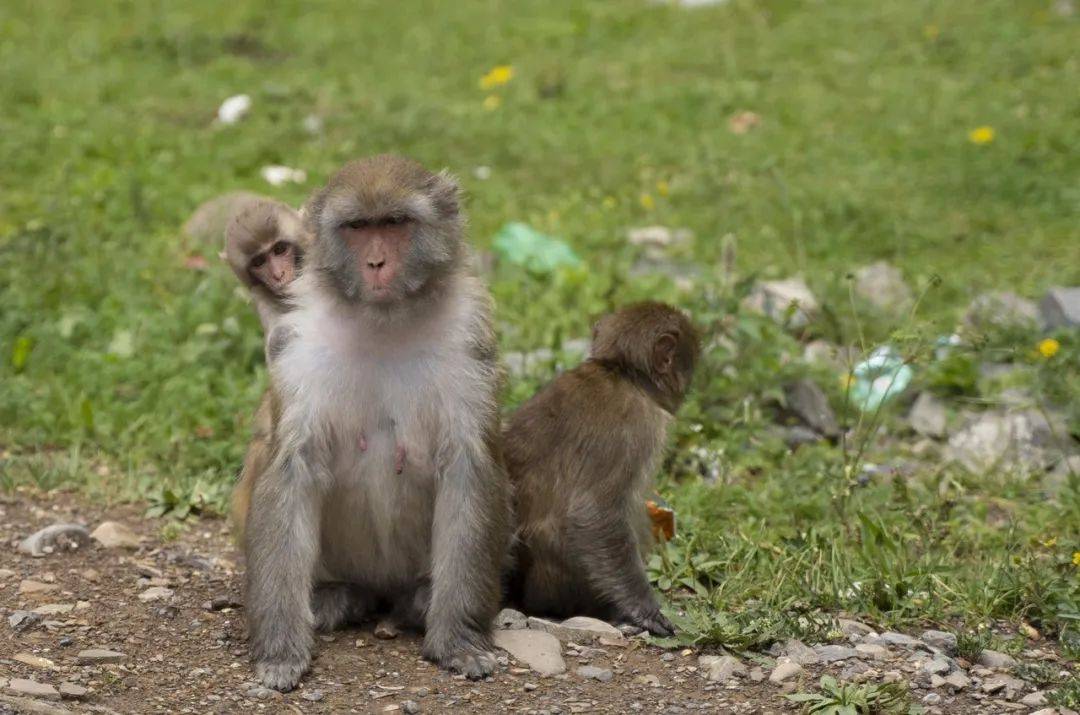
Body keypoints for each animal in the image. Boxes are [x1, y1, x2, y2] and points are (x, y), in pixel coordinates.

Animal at [240, 154, 509, 691]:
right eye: (359, 228)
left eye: (395, 223)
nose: (377, 264)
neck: (384, 319)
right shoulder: (297, 344)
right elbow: (291, 469)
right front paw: (280, 647)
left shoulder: (470, 337)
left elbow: (468, 467)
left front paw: (460, 640)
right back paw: (333, 597)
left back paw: (418, 603)